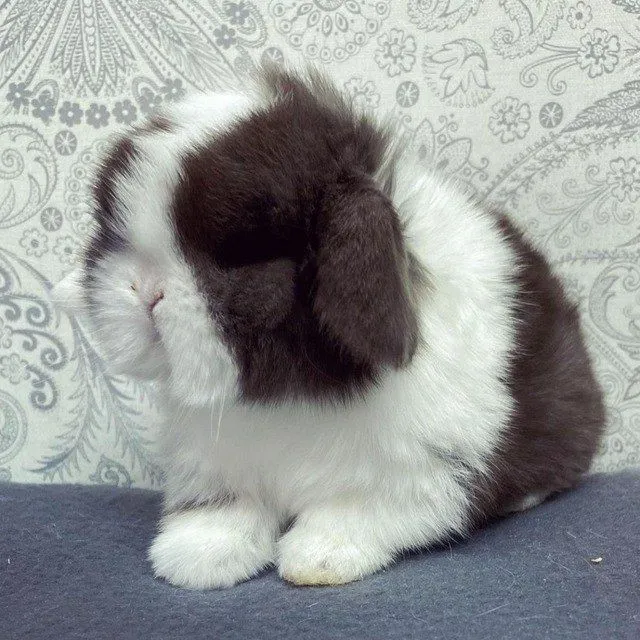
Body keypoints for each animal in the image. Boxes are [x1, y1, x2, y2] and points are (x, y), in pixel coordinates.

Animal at [53, 67, 605, 589]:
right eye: (114, 237)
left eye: (244, 257)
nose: (145, 291)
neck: (288, 396)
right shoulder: (215, 465)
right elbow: (226, 513)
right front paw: (193, 560)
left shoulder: (416, 476)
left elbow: (352, 515)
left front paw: (316, 559)